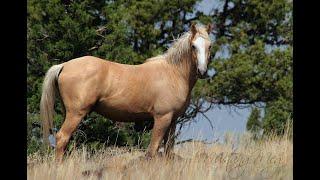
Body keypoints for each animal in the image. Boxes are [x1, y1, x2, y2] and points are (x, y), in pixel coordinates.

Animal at [40, 22, 212, 162]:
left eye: (209, 46)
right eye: (193, 46)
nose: (202, 71)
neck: (173, 73)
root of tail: (64, 65)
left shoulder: (173, 120)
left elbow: (168, 150)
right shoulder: (162, 118)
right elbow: (152, 151)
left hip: (69, 113)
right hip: (76, 113)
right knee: (62, 138)